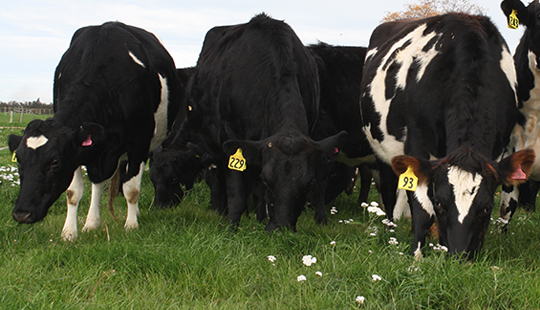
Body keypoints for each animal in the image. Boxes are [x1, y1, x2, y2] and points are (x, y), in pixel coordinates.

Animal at [6, 21, 181, 242]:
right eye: (19, 160)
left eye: (54, 162)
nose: (22, 213)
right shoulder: (79, 149)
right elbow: (73, 192)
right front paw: (69, 232)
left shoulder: (139, 142)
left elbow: (131, 188)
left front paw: (131, 226)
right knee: (98, 183)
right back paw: (92, 223)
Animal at [186, 13, 346, 232]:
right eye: (268, 180)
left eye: (308, 185)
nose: (281, 229)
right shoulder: (230, 138)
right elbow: (237, 193)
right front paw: (232, 229)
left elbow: (258, 193)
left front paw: (261, 221)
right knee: (220, 180)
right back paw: (223, 213)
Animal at [358, 12, 536, 260]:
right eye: (440, 204)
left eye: (486, 208)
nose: (458, 256)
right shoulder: (418, 142)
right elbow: (422, 208)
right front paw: (417, 255)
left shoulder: (499, 149)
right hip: (382, 150)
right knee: (389, 190)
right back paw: (391, 227)